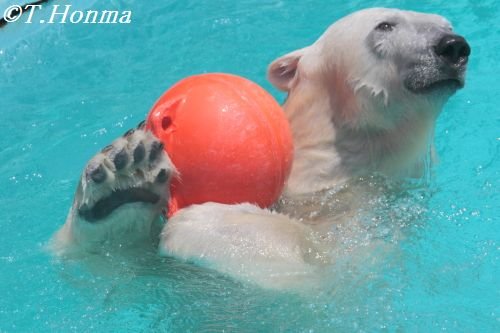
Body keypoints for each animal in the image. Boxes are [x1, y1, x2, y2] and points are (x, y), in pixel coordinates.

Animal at [48, 7, 470, 288]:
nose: (453, 46)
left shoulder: (376, 217)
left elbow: (321, 269)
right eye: (386, 24)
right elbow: (109, 263)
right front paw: (124, 173)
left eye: (445, 25)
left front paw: (207, 222)